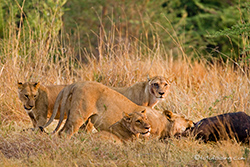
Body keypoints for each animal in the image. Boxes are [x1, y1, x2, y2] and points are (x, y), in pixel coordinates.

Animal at [41, 80, 193, 139]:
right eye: (184, 118)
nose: (192, 122)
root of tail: (75, 83)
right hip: (78, 116)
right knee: (65, 133)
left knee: (61, 131)